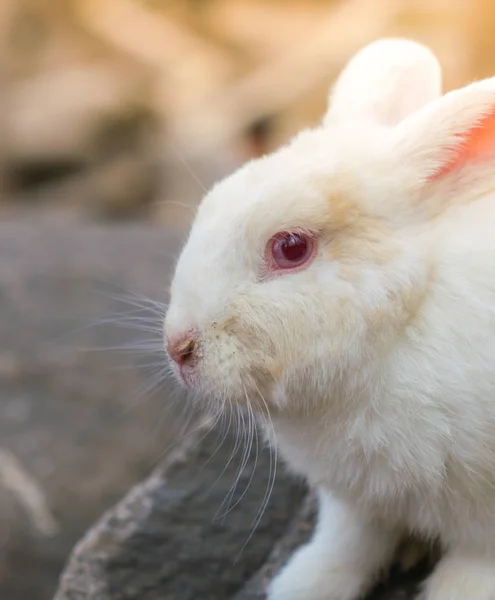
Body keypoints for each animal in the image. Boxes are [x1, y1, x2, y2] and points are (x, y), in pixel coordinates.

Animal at [166, 38, 495, 600]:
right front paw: (301, 585)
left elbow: (476, 565)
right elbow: (347, 545)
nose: (178, 347)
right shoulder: (357, 500)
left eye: (291, 248)